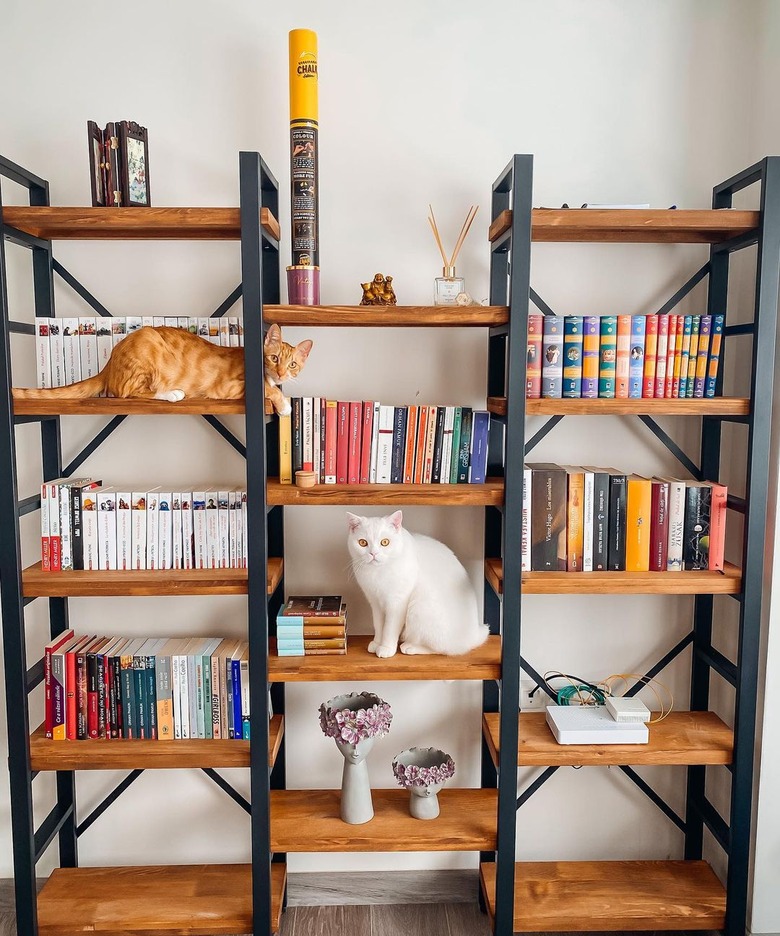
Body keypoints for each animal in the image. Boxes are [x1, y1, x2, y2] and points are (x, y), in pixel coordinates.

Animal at [12, 322, 310, 414]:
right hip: (146, 347)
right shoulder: (230, 388)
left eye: (292, 364)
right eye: (274, 359)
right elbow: (268, 389)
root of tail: (109, 363)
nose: (281, 373)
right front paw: (283, 404)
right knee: (128, 393)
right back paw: (172, 393)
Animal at [348, 512, 488, 660]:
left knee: (443, 649)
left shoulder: (397, 603)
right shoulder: (375, 603)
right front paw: (376, 643)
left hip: (419, 607)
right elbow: (379, 626)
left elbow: (389, 629)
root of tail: (473, 636)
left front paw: (386, 648)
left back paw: (411, 647)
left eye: (385, 542)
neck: (378, 572)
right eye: (362, 543)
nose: (373, 553)